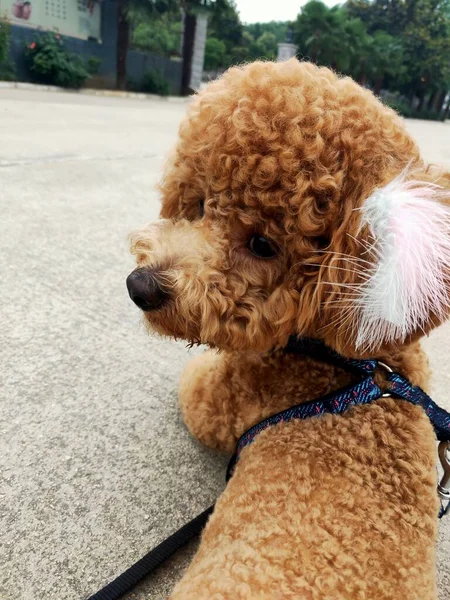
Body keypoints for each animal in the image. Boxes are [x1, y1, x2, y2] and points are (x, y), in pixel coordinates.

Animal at [126, 58, 450, 596]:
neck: (349, 363)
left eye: (262, 245)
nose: (141, 286)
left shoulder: (221, 400)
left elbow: (195, 384)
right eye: (199, 205)